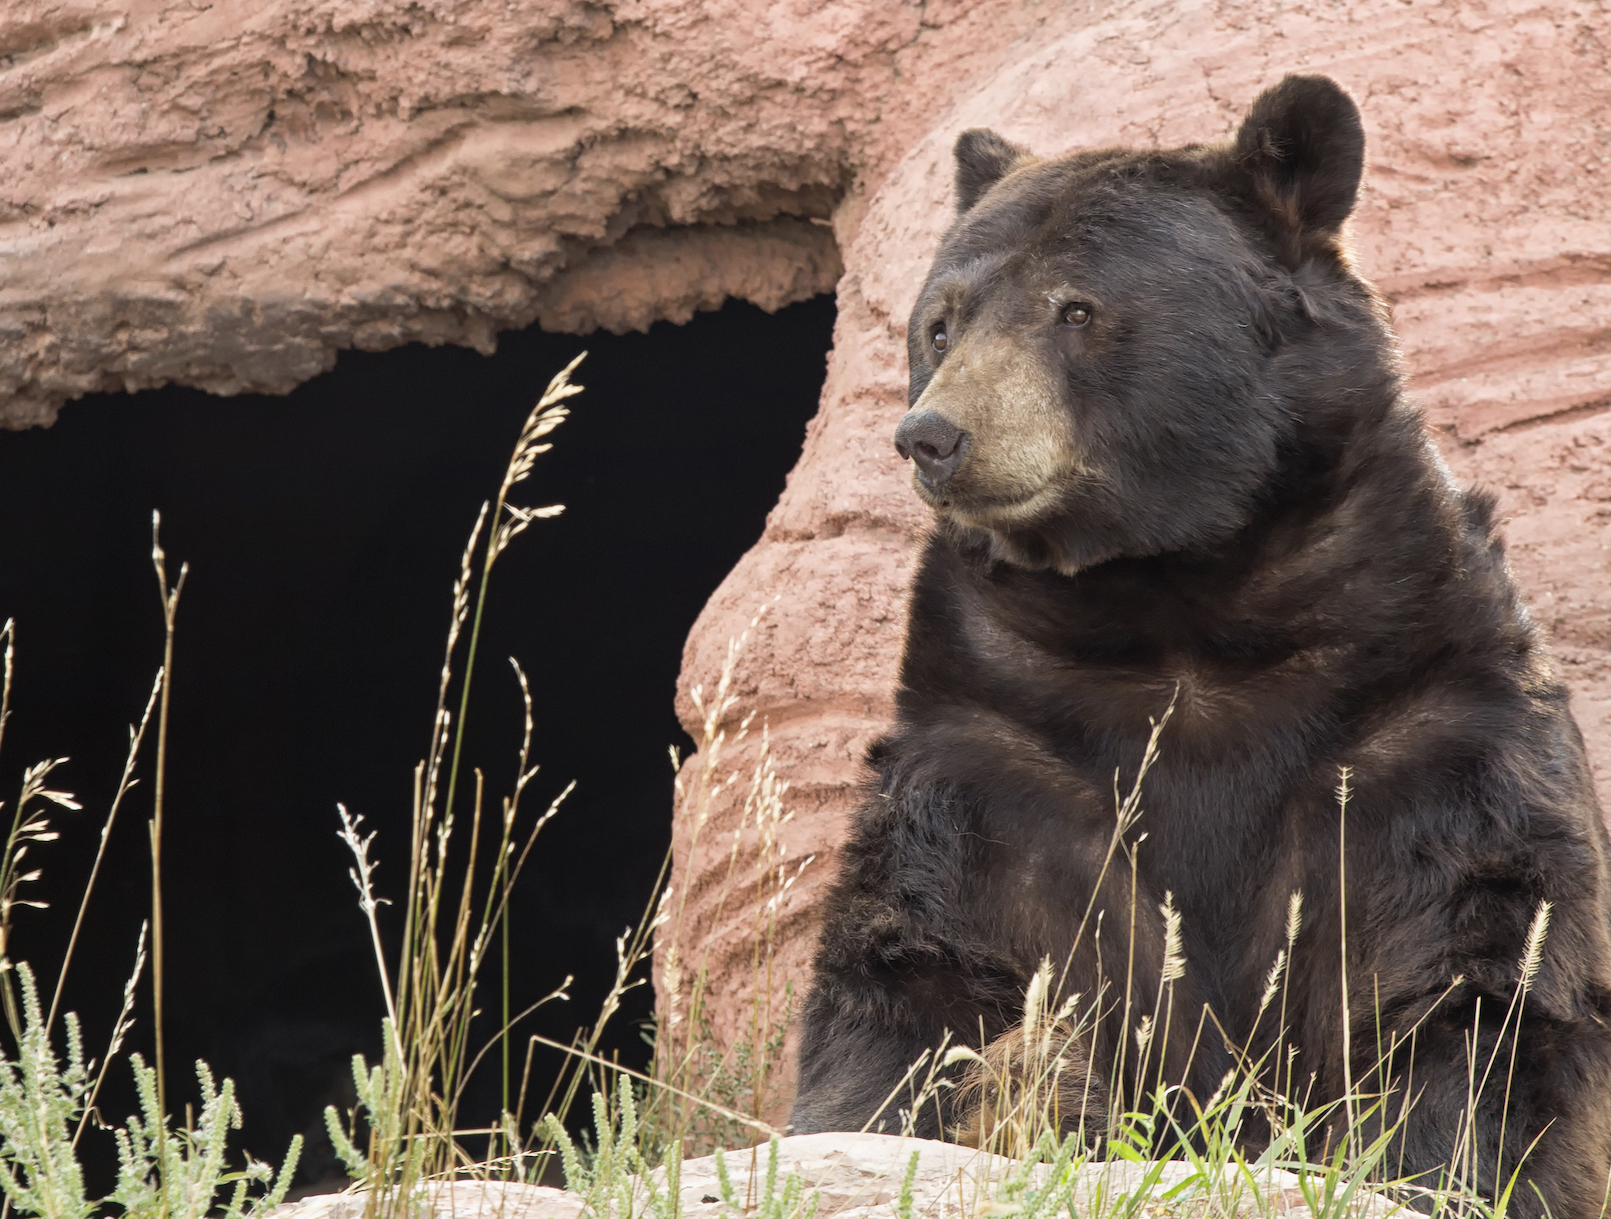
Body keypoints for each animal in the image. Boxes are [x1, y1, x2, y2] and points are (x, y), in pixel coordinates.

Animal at [789, 75, 1611, 1218]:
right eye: (940, 322)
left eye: (1077, 309)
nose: (932, 436)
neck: (1181, 602)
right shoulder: (1000, 750)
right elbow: (920, 965)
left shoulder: (1419, 718)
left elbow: (1472, 969)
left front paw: (1444, 1158)